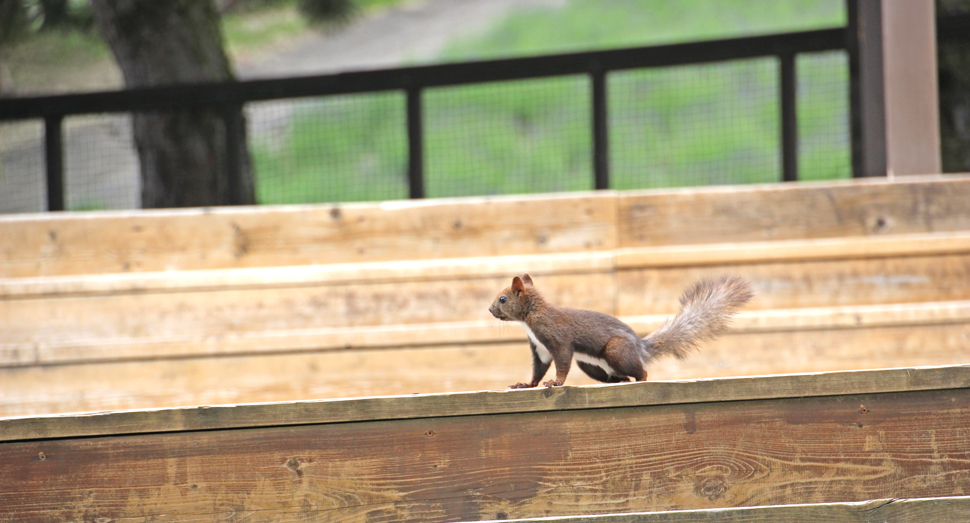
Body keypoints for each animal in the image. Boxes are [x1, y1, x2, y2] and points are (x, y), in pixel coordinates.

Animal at [488, 274, 752, 388]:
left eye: (502, 299)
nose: (490, 310)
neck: (531, 318)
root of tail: (640, 347)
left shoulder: (557, 338)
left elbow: (562, 362)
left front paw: (555, 382)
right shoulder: (540, 349)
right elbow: (538, 369)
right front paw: (526, 384)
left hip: (616, 350)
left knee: (641, 371)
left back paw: (640, 379)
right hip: (592, 366)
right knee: (619, 376)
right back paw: (618, 381)